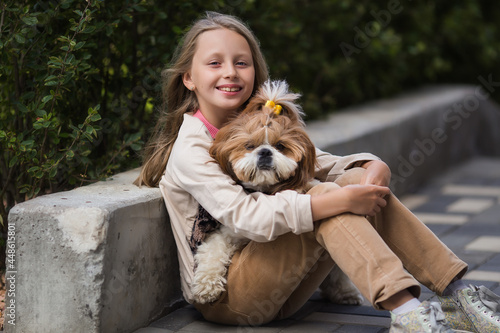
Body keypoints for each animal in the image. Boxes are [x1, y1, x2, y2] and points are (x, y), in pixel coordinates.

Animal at [191, 79, 364, 304]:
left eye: (280, 146)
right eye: (249, 146)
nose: (265, 151)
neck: (266, 192)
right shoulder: (228, 232)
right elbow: (213, 250)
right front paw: (206, 286)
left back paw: (345, 291)